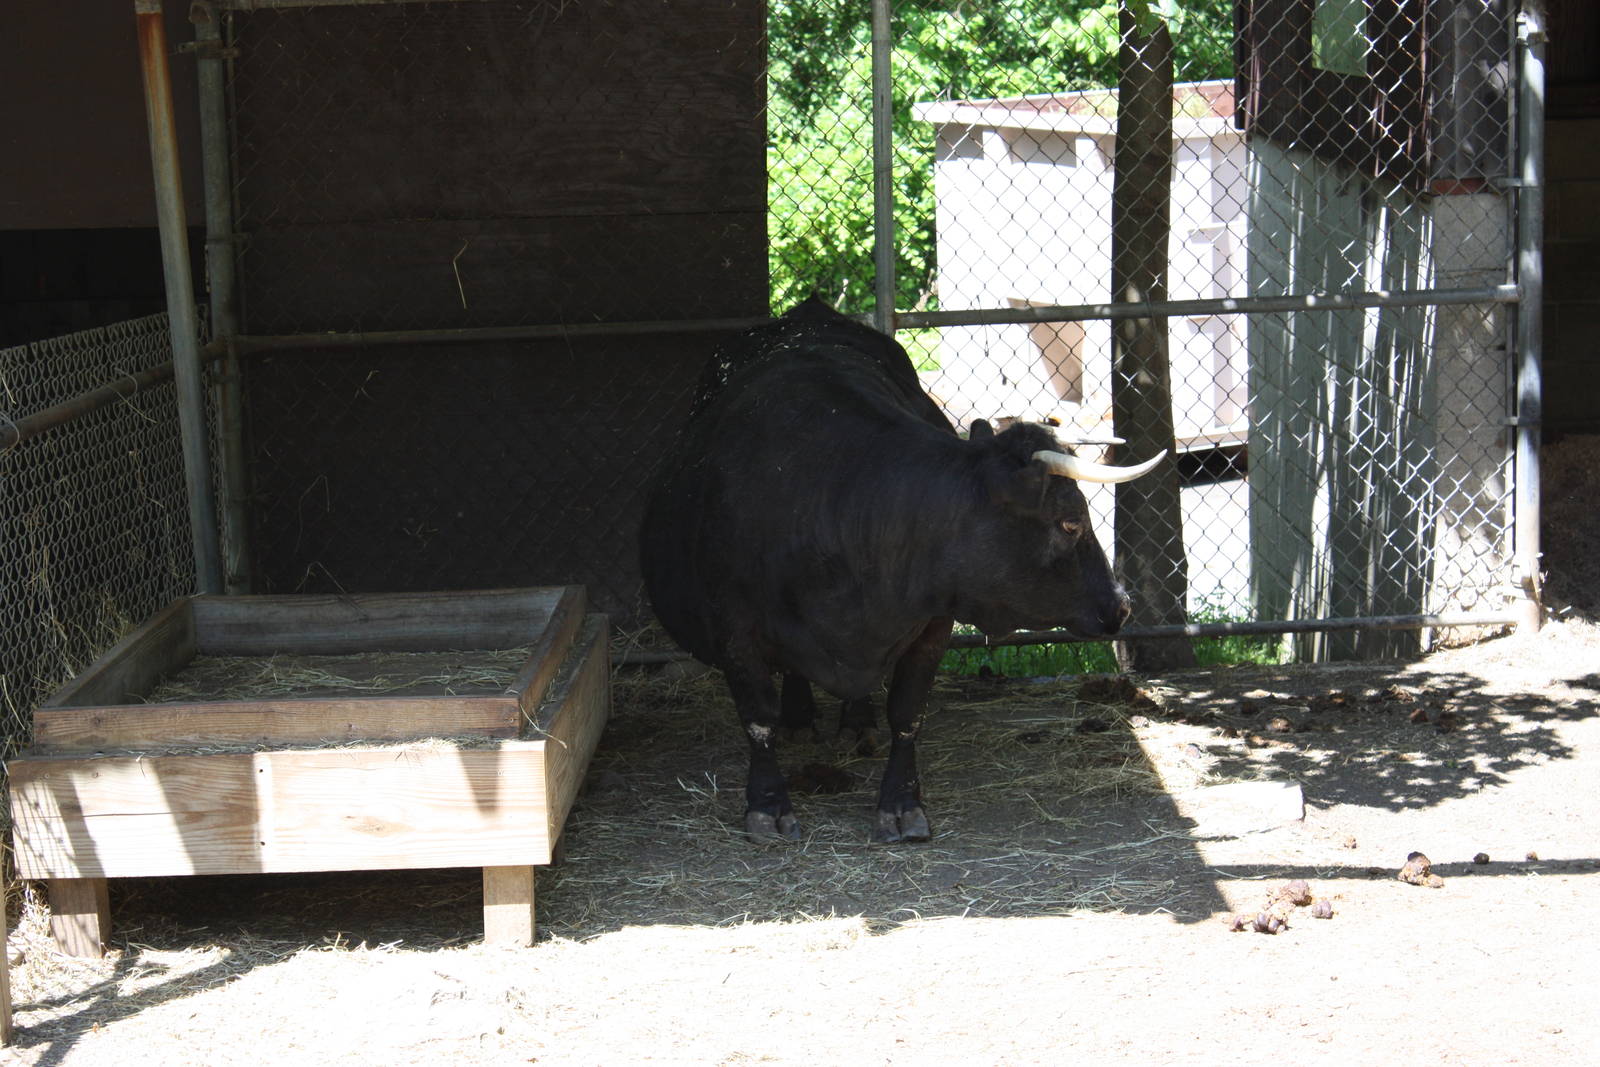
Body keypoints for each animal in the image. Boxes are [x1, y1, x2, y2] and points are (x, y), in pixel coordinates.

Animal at [639, 297, 1161, 843]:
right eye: (1070, 521)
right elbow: (758, 718)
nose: (1122, 604)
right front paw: (767, 805)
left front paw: (902, 804)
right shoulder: (734, 630)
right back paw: (799, 718)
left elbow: (908, 714)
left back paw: (855, 721)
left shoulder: (931, 624)